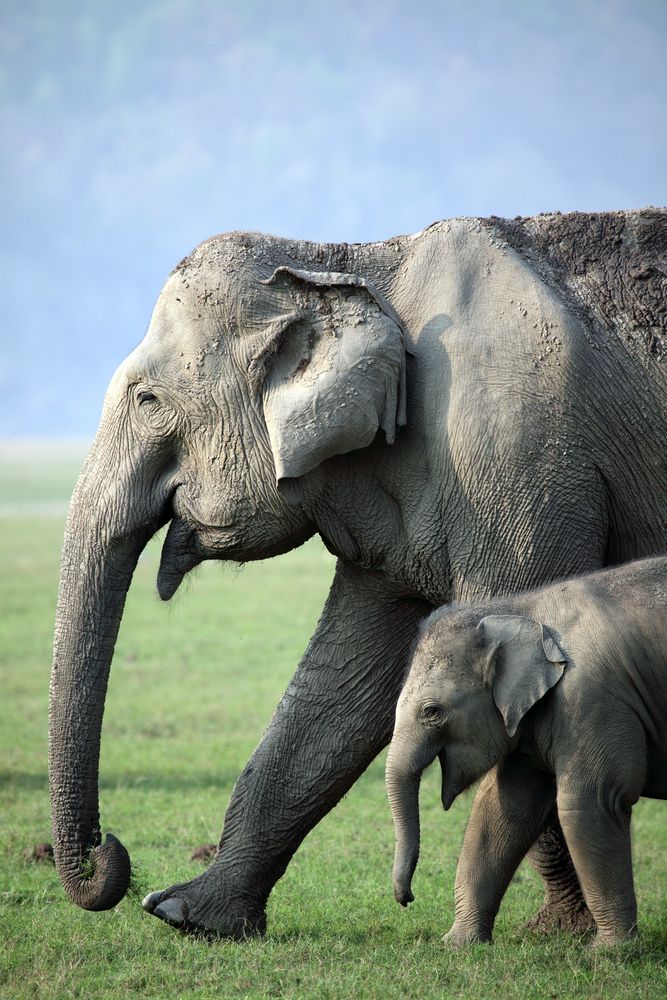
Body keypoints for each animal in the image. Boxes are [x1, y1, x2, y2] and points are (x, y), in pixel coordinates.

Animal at [386, 556, 667, 947]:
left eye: (432, 711)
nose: (406, 899)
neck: (521, 611)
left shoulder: (591, 699)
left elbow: (595, 800)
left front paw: (608, 952)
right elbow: (501, 810)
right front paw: (458, 945)